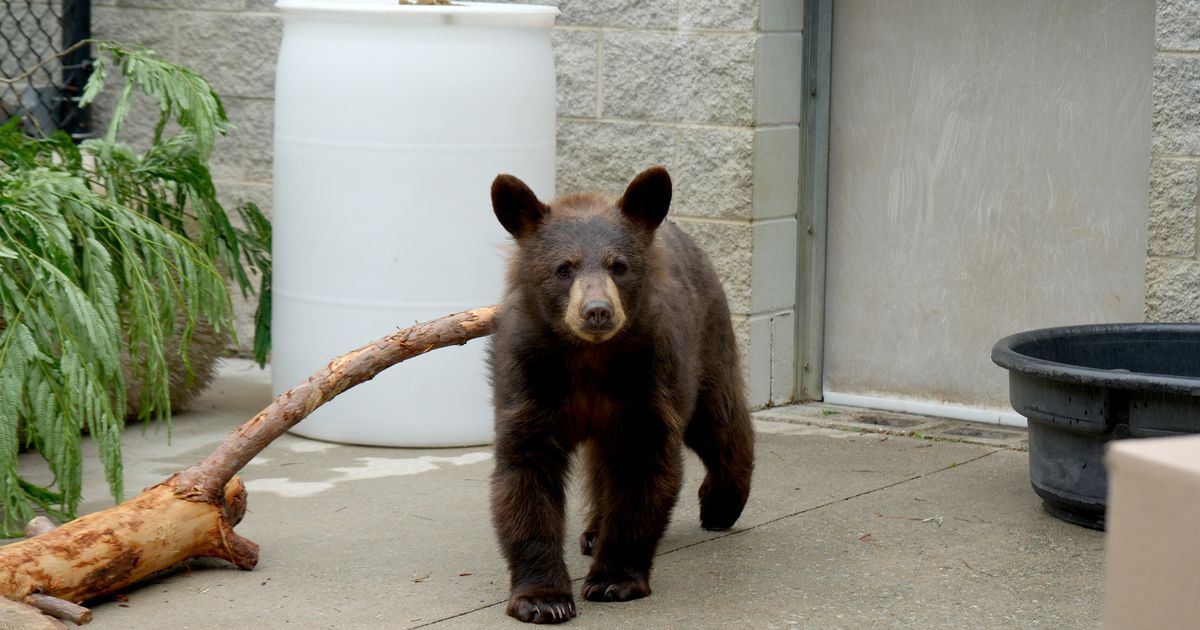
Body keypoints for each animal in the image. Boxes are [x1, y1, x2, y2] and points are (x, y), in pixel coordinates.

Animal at [487, 166, 755, 624]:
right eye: (563, 269)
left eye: (619, 266)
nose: (597, 311)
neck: (590, 360)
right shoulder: (529, 379)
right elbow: (526, 470)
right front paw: (543, 599)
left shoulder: (649, 379)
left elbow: (641, 468)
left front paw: (614, 580)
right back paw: (594, 531)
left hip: (706, 339)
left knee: (719, 419)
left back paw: (721, 505)